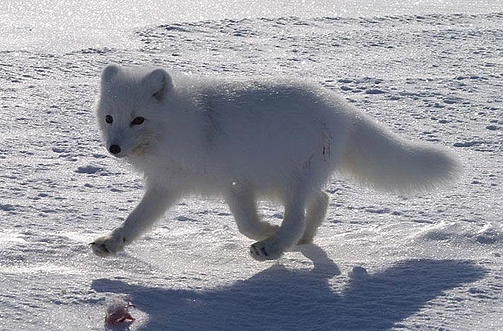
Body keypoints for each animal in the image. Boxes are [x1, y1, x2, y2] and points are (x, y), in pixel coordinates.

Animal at [90, 65, 460, 262]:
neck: (186, 125)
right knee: (322, 200)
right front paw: (112, 243)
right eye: (109, 118)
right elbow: (136, 221)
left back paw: (275, 245)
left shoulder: (236, 183)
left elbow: (246, 225)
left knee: (298, 217)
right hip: (288, 181)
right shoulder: (168, 185)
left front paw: (267, 231)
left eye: (138, 119)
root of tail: (340, 109)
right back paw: (304, 240)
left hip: (290, 180)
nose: (114, 148)